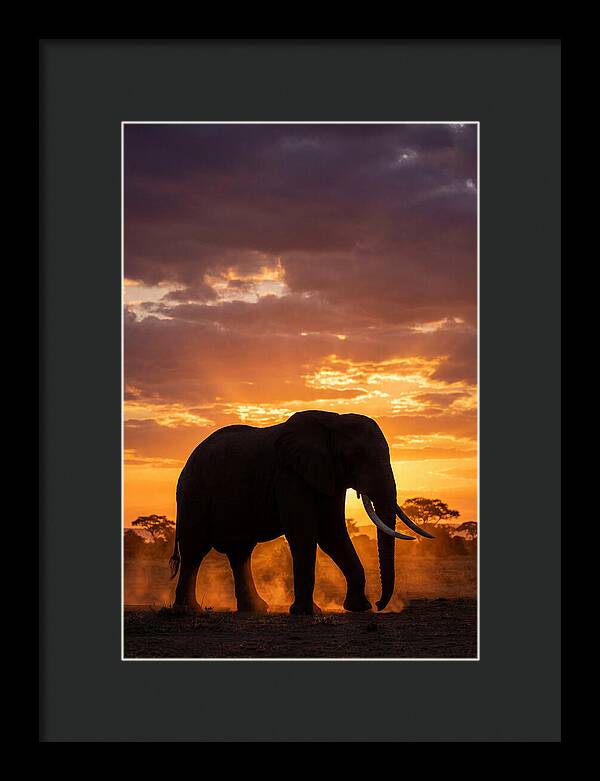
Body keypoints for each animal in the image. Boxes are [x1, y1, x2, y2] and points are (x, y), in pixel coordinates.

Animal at [169, 410, 433, 615]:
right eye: (356, 455)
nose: (379, 604)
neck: (333, 421)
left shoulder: (328, 475)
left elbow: (332, 533)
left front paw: (359, 608)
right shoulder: (290, 474)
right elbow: (305, 534)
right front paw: (307, 612)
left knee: (240, 552)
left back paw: (255, 608)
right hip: (194, 494)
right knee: (195, 550)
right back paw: (187, 610)